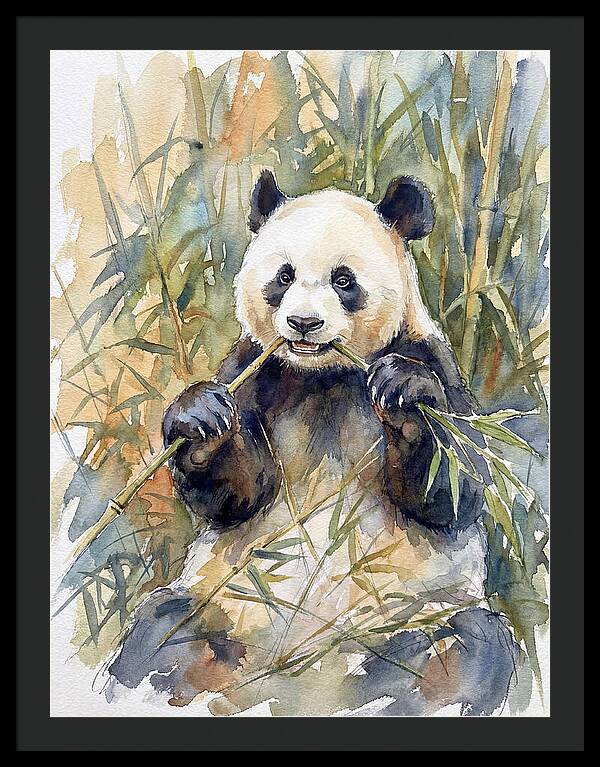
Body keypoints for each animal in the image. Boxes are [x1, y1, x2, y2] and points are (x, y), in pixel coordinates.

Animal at [108, 171, 519, 716]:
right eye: (284, 277)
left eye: (343, 281)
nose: (303, 324)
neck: (324, 375)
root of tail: (299, 674)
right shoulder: (256, 369)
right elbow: (240, 495)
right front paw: (200, 419)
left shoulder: (430, 357)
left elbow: (455, 489)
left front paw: (406, 397)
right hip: (225, 608)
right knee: (158, 635)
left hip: (410, 618)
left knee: (467, 648)